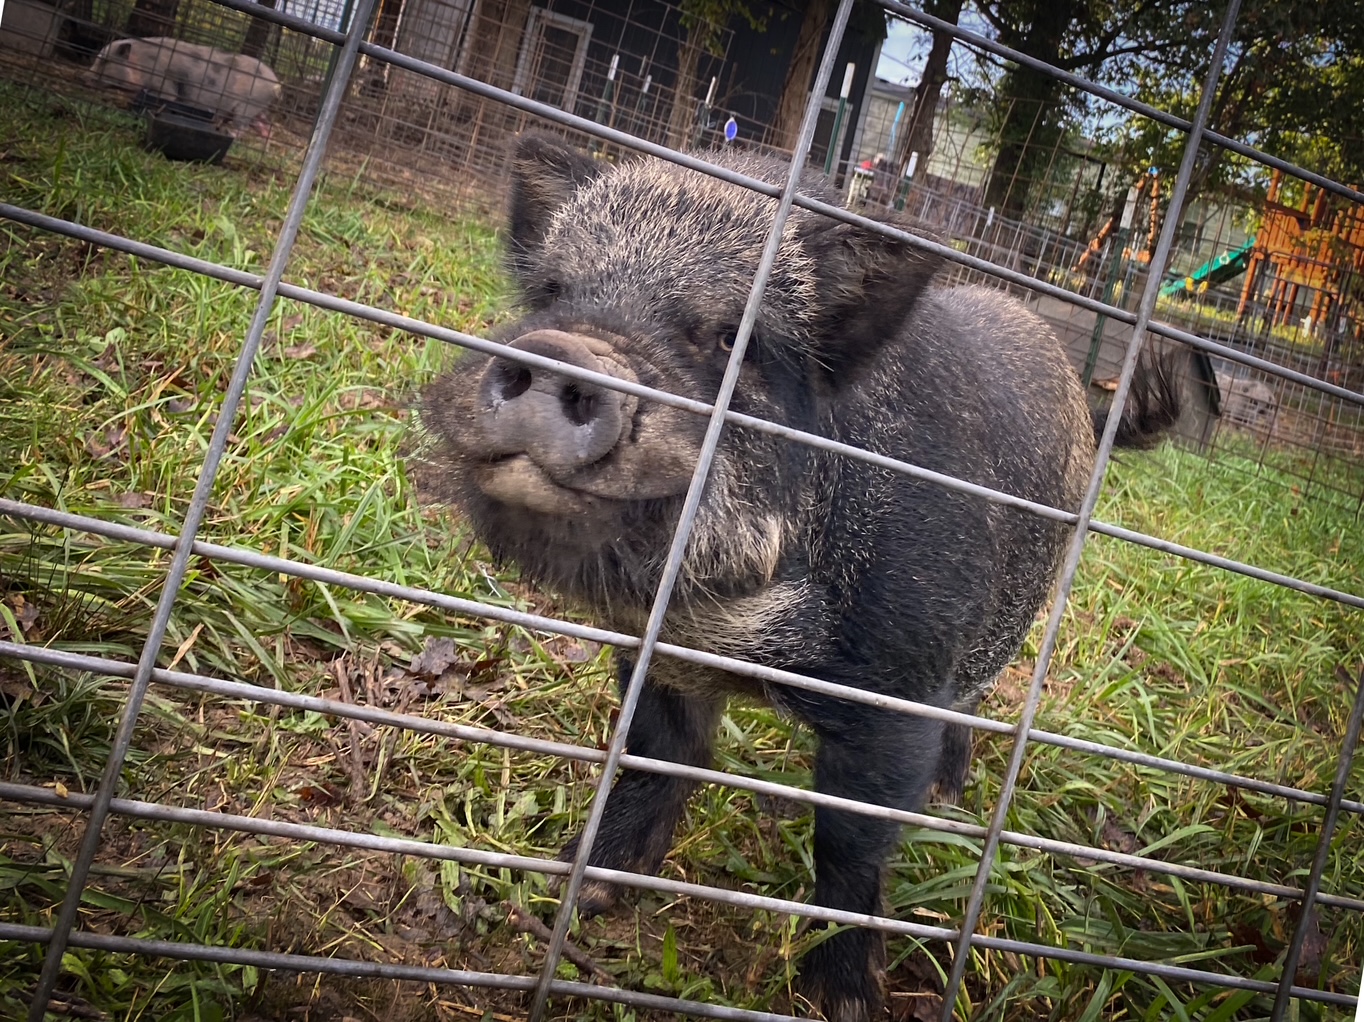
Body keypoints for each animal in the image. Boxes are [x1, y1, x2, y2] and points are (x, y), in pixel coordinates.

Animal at [84, 36, 282, 137]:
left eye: (105, 61)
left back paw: (233, 136)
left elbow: (165, 100)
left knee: (242, 127)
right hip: (257, 109)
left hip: (248, 106)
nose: (86, 76)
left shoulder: (165, 86)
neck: (143, 64)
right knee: (265, 127)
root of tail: (276, 84)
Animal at [420, 134, 1181, 1022]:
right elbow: (651, 758)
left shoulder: (899, 688)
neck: (731, 631)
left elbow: (851, 842)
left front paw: (843, 999)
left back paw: (951, 799)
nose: (561, 353)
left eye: (731, 339)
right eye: (551, 291)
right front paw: (585, 894)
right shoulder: (652, 656)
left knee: (977, 701)